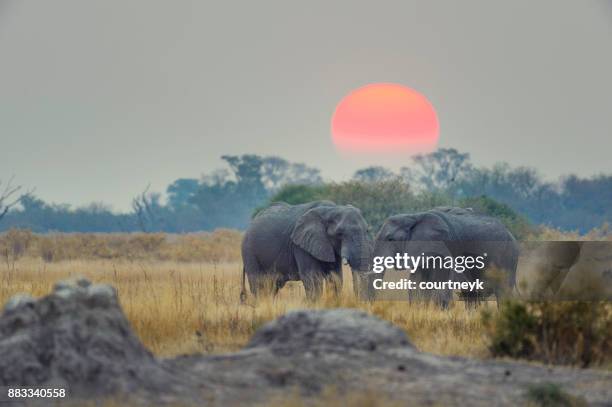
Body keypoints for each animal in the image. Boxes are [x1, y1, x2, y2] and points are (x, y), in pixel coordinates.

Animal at [240, 202, 372, 302]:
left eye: (367, 230)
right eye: (340, 233)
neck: (331, 209)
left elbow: (335, 278)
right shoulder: (300, 246)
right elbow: (313, 279)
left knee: (272, 287)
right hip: (249, 251)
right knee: (259, 285)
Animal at [370, 206, 520, 308]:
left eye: (390, 239)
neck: (414, 217)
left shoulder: (442, 248)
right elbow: (416, 284)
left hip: (508, 258)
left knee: (503, 292)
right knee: (472, 295)